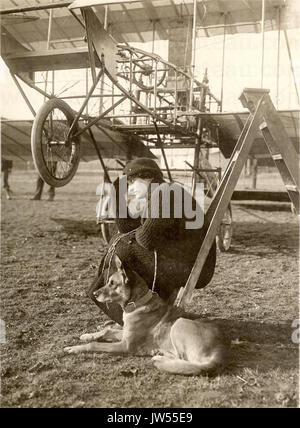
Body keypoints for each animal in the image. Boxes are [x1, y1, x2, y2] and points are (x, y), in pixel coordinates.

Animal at [64, 254, 230, 374]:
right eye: (108, 281)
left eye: (112, 283)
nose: (94, 293)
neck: (137, 303)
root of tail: (220, 352)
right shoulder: (124, 334)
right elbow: (107, 330)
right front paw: (87, 335)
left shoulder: (125, 345)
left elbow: (95, 344)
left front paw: (75, 348)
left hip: (179, 324)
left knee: (187, 362)